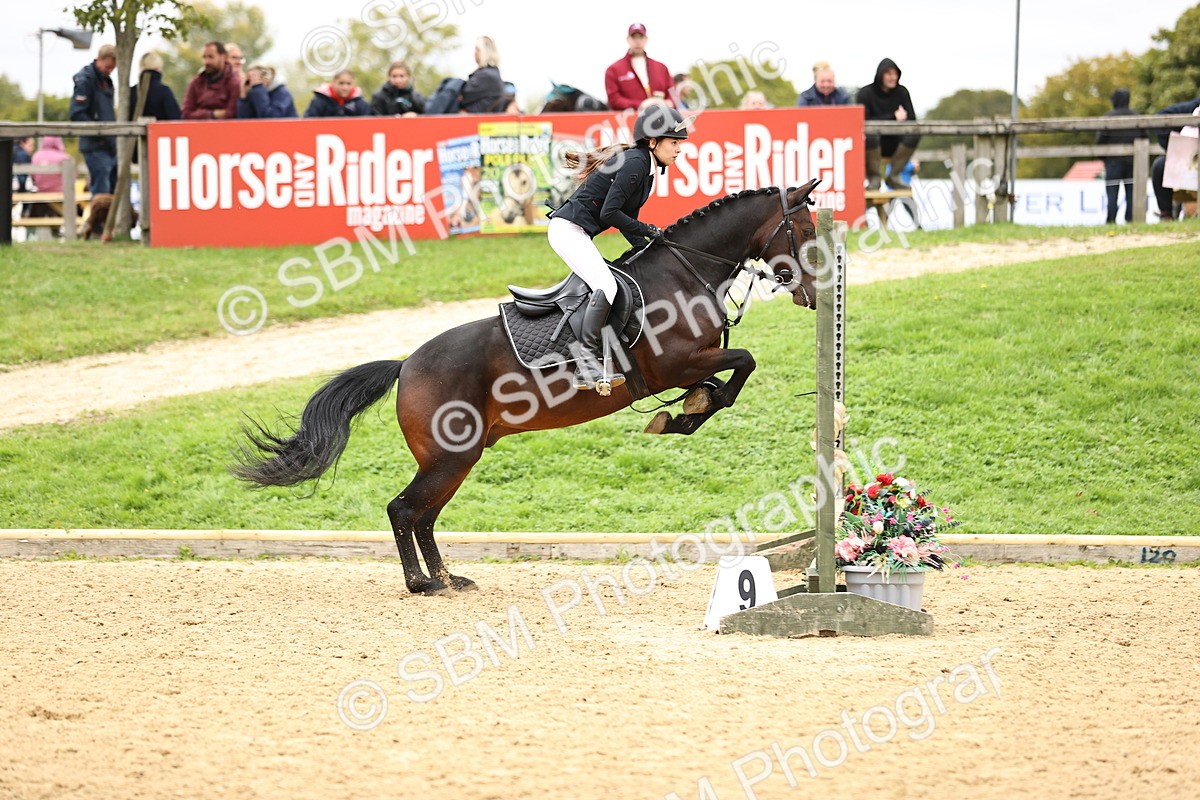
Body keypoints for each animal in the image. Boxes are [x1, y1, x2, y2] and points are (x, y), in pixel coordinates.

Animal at [231, 179, 822, 595]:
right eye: (808, 232)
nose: (815, 293)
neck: (682, 275)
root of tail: (405, 366)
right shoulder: (674, 363)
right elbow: (741, 366)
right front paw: (686, 413)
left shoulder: (686, 365)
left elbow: (725, 376)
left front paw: (687, 410)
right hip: (450, 457)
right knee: (404, 511)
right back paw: (422, 585)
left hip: (457, 459)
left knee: (424, 516)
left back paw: (447, 579)